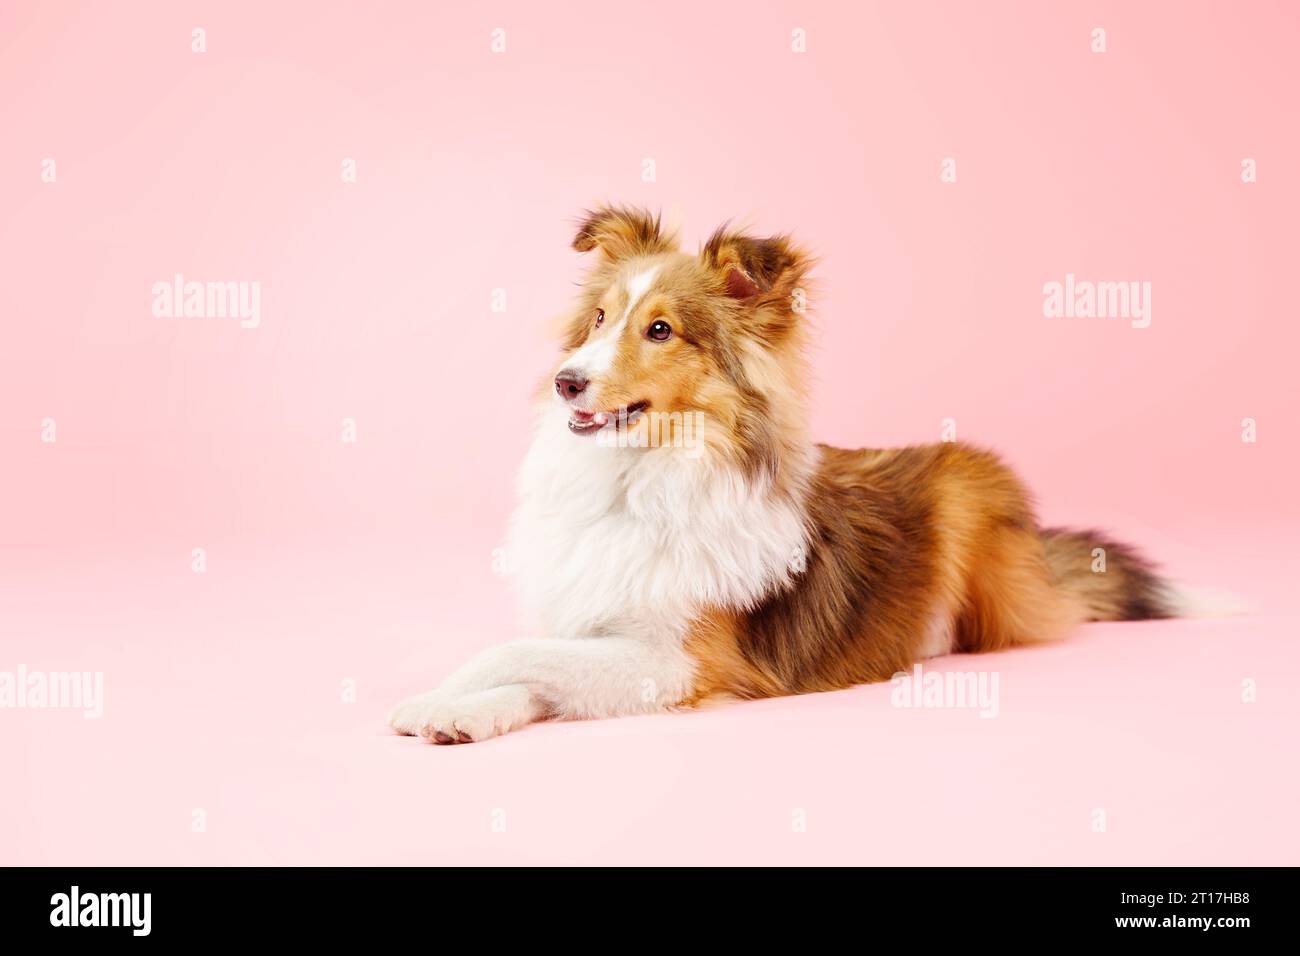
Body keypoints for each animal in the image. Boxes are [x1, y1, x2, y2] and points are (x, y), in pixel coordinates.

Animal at [382, 208, 1196, 749]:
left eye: (661, 330)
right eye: (601, 319)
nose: (565, 383)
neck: (636, 483)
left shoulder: (684, 662)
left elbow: (514, 653)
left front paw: (436, 695)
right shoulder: (592, 627)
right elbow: (536, 671)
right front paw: (457, 710)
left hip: (973, 499)